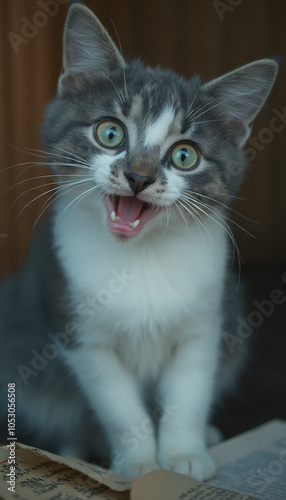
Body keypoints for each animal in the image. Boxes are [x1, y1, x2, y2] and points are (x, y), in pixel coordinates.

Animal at [0, 1, 278, 482]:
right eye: (110, 132)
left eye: (185, 155)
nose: (139, 177)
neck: (142, 255)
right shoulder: (78, 329)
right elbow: (118, 406)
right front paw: (139, 465)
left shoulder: (206, 322)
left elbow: (189, 392)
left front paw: (183, 456)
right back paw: (75, 453)